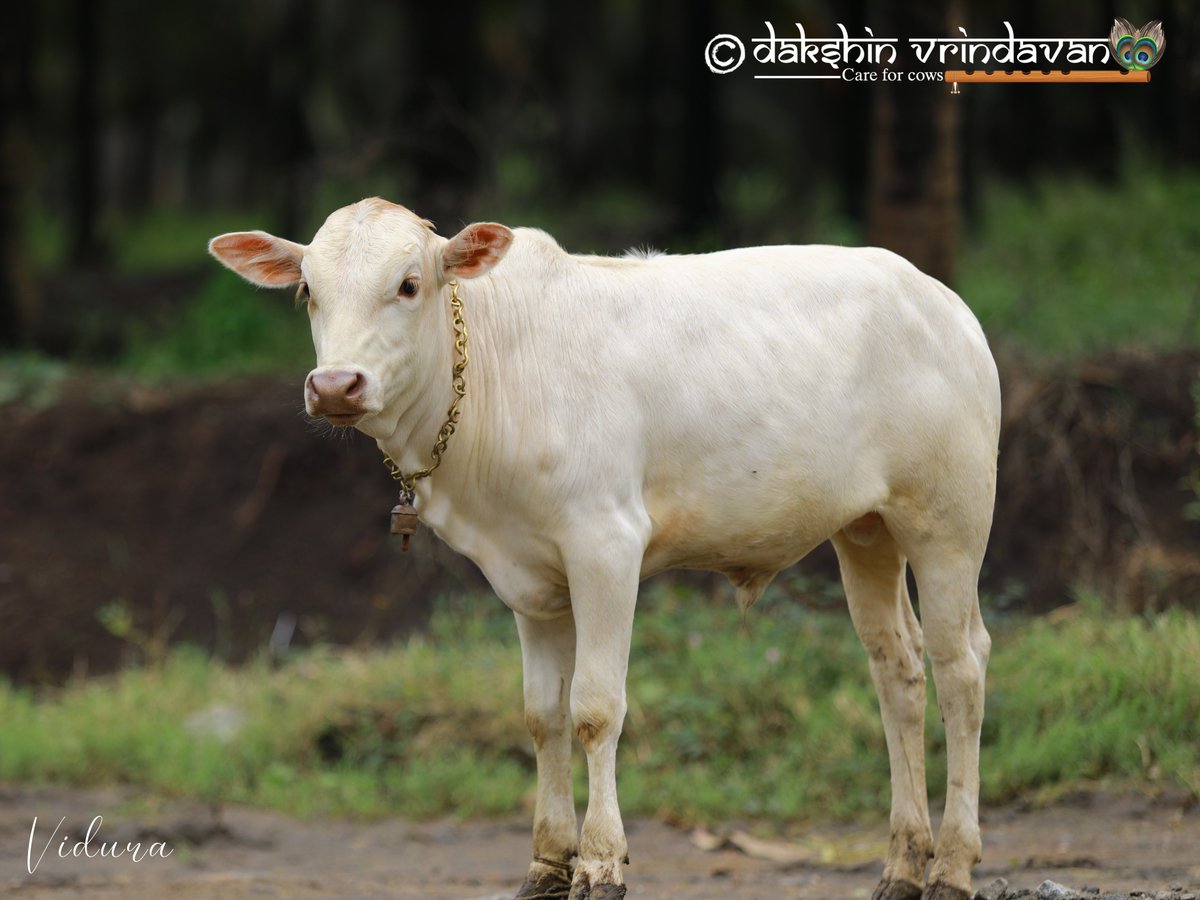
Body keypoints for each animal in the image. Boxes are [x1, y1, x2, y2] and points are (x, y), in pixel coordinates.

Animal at [209, 197, 1000, 900]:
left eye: (407, 285)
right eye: (308, 290)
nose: (335, 385)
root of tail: (937, 296)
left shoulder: (606, 545)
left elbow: (594, 707)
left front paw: (599, 863)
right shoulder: (527, 578)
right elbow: (543, 715)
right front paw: (546, 862)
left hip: (948, 521)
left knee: (960, 667)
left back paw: (953, 867)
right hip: (865, 529)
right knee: (896, 667)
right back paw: (902, 865)